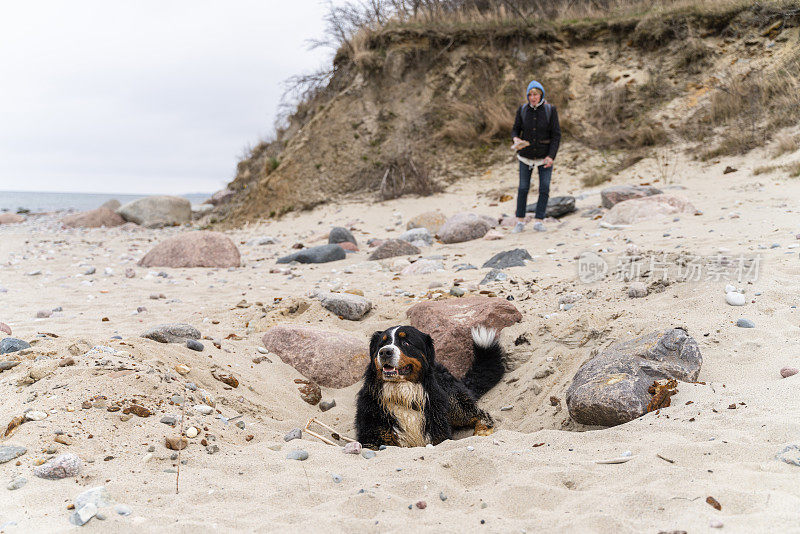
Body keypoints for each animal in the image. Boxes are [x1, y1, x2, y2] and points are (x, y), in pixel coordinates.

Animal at [356, 326, 506, 448]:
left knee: (481, 415)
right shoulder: (373, 439)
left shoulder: (438, 434)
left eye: (406, 342)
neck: (402, 395)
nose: (385, 352)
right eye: (382, 344)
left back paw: (482, 431)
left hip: (453, 403)